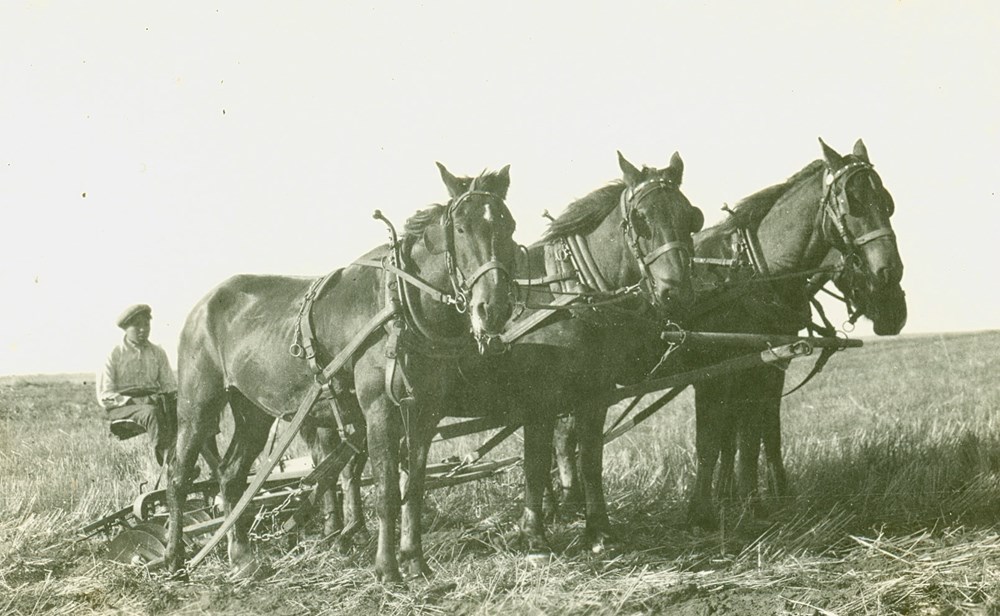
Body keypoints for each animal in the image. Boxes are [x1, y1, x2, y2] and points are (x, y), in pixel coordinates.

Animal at [164, 164, 520, 584]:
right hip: (198, 404)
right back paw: (175, 559)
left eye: (509, 226)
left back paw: (242, 558)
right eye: (461, 228)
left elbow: (414, 487)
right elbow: (385, 490)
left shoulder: (424, 412)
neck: (399, 303)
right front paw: (387, 568)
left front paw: (415, 562)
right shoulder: (379, 409)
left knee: (231, 475)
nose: (492, 308)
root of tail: (203, 304)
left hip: (254, 410)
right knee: (179, 477)